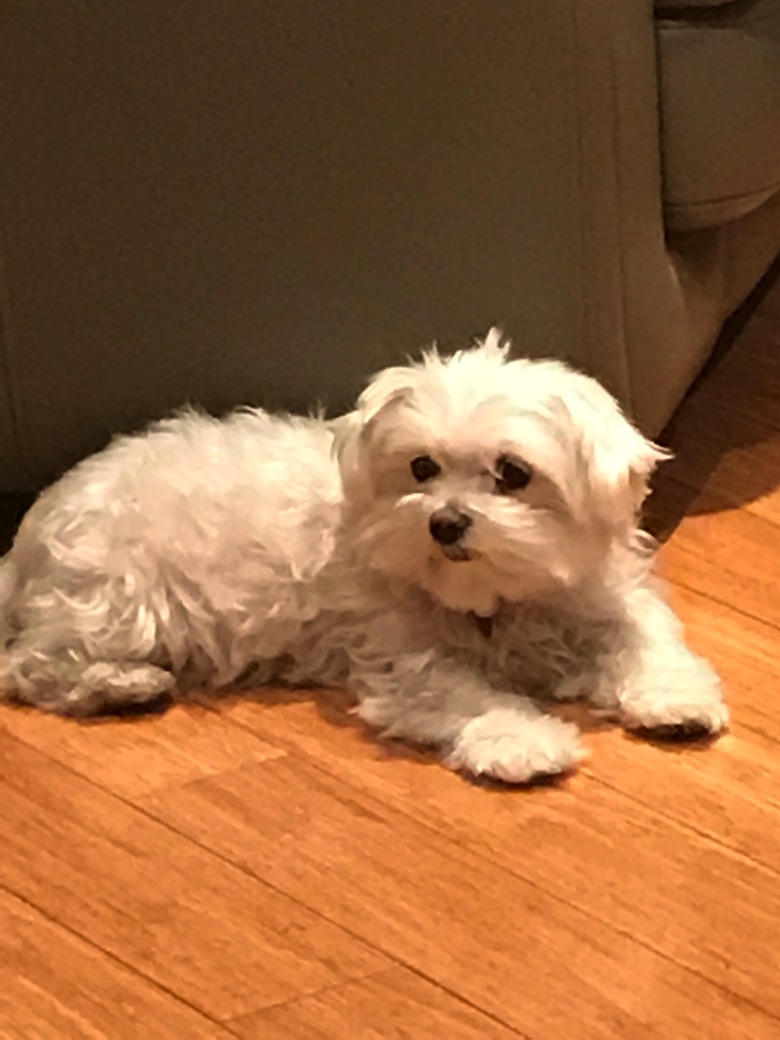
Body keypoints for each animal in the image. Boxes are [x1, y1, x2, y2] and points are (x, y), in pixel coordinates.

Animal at [0, 330, 727, 783]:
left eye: (513, 474)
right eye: (422, 467)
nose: (445, 523)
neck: (498, 600)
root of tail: (28, 533)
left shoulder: (607, 602)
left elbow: (647, 645)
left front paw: (676, 699)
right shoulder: (408, 660)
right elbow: (468, 697)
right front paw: (522, 741)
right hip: (119, 600)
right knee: (32, 668)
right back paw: (126, 686)